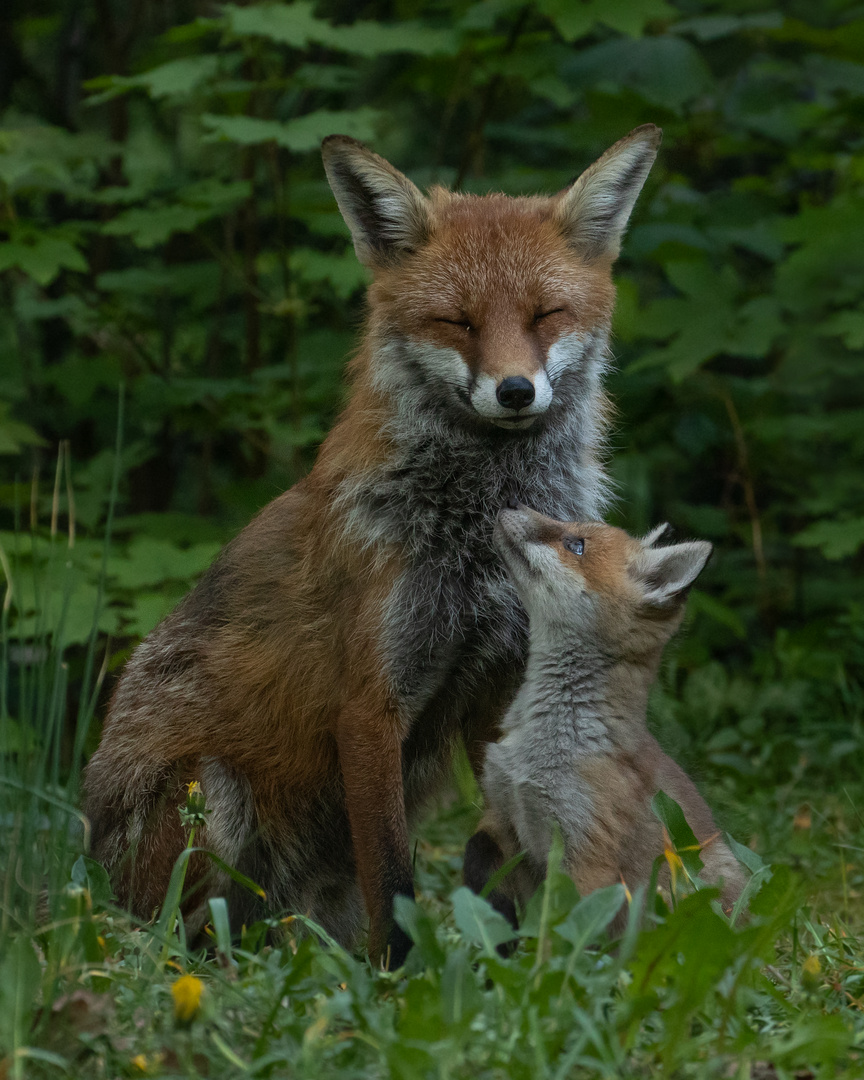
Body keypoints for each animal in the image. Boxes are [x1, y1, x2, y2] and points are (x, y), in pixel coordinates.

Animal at [82, 122, 660, 967]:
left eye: (546, 314)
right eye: (457, 321)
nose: (515, 391)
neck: (476, 535)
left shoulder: (498, 689)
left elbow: (507, 851)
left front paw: (514, 968)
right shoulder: (371, 704)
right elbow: (393, 876)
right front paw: (398, 979)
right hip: (211, 801)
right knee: (181, 940)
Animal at [466, 509, 743, 933]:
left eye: (576, 545)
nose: (508, 508)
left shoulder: (587, 854)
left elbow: (563, 929)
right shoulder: (502, 810)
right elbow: (478, 852)